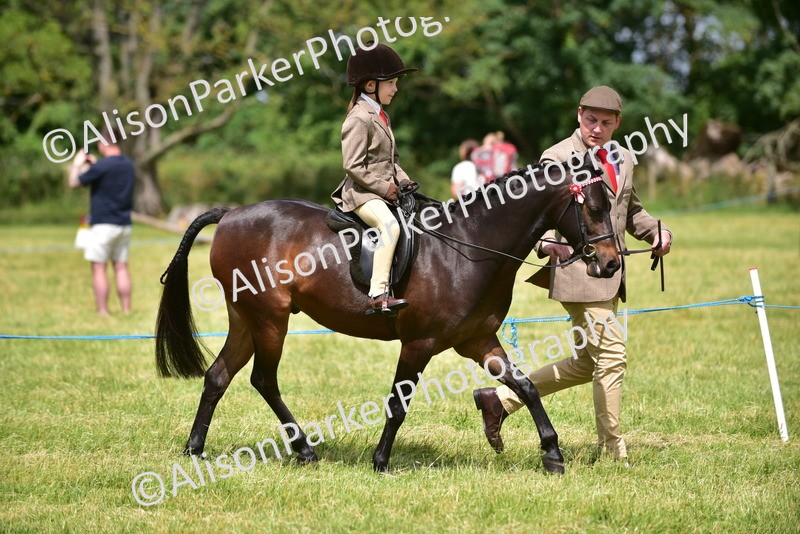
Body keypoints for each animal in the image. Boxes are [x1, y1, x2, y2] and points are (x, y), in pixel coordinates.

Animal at [155, 158, 620, 474]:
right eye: (594, 208)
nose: (611, 263)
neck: (467, 247)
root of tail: (230, 214)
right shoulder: (419, 344)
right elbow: (398, 402)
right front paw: (380, 460)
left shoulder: (478, 340)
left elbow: (526, 386)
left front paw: (552, 453)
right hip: (270, 320)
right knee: (263, 380)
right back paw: (304, 449)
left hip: (246, 320)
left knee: (218, 376)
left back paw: (195, 449)